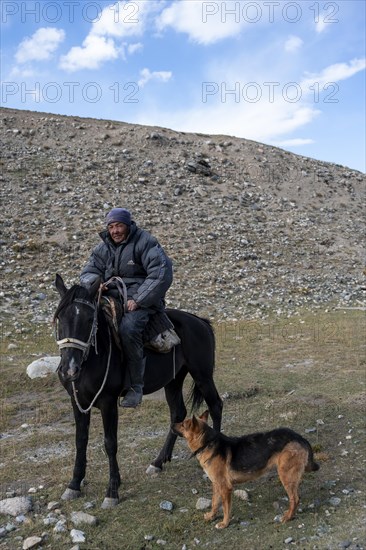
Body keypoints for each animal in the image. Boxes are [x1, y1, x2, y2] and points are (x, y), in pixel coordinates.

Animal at [53, 274, 222, 512]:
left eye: (88, 320)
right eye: (60, 319)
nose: (69, 370)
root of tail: (200, 321)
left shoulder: (108, 402)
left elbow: (110, 443)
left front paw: (112, 492)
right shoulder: (78, 402)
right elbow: (80, 441)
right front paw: (74, 485)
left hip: (202, 375)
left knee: (215, 405)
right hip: (173, 381)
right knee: (178, 413)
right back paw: (158, 462)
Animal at [173, 414, 318, 532]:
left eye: (183, 424)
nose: (172, 424)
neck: (207, 442)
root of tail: (300, 438)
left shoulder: (225, 487)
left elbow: (226, 508)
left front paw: (224, 524)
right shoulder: (216, 484)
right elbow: (214, 502)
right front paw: (211, 516)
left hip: (285, 475)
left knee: (295, 499)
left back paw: (287, 517)